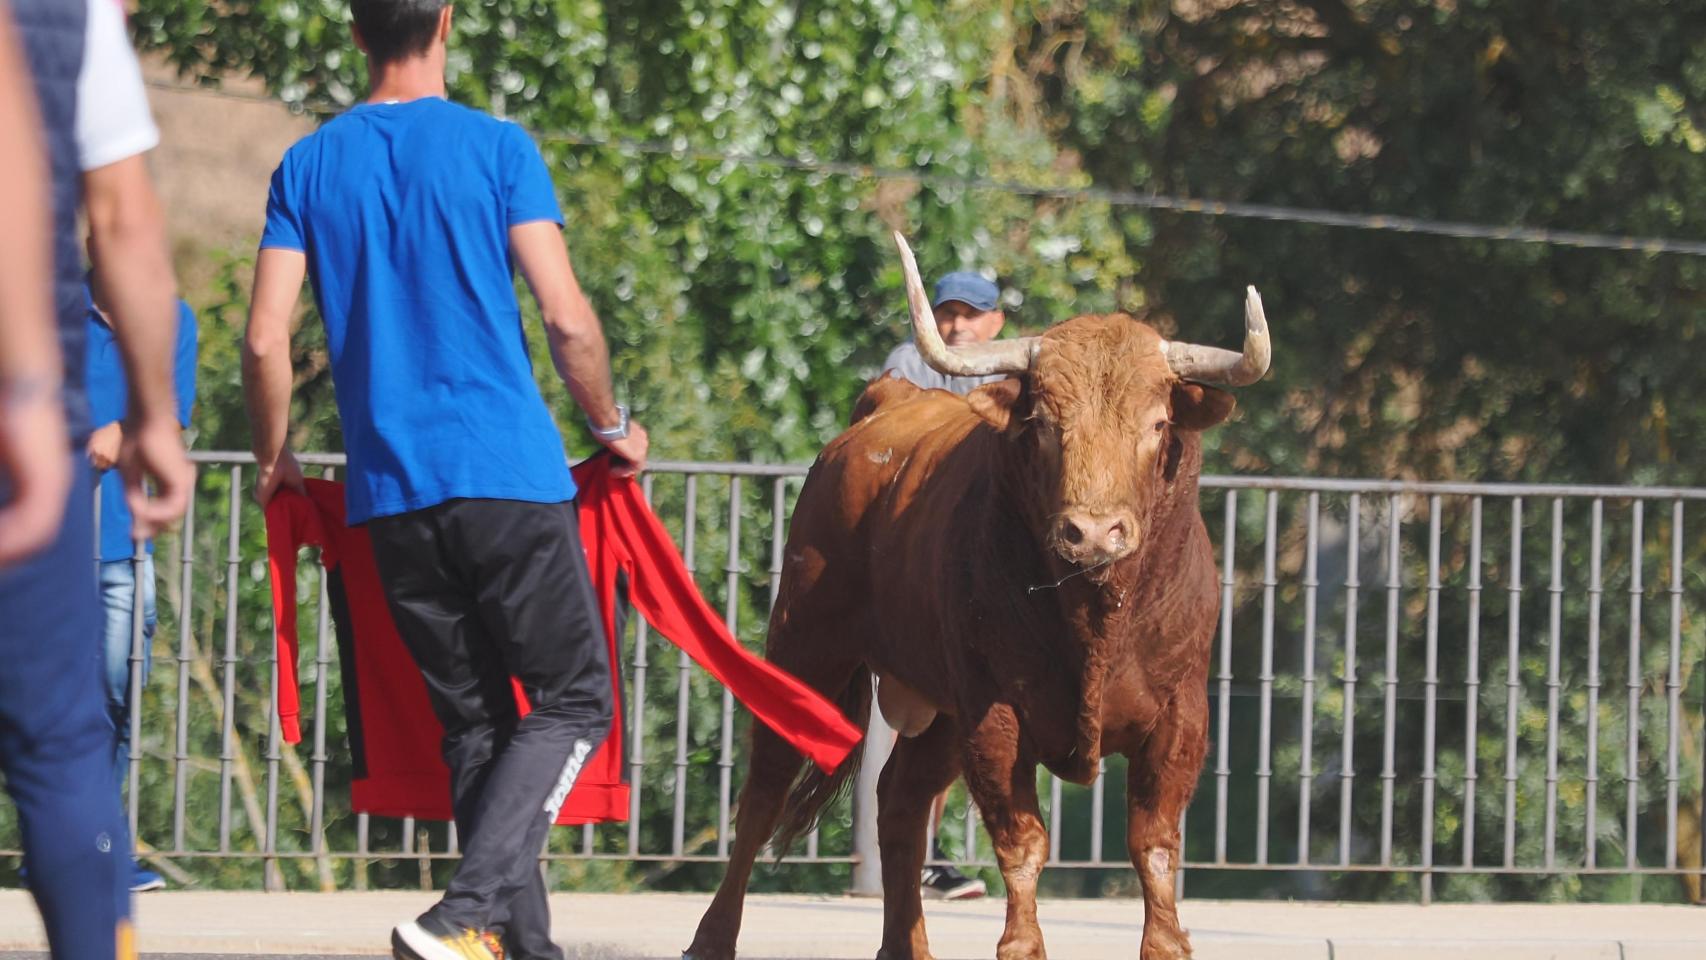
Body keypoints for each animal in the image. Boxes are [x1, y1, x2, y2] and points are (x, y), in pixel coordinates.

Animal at [685, 235, 1276, 960]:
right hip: (808, 647)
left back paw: (905, 946)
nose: (1093, 532)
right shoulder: (995, 715)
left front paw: (1165, 945)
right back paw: (712, 937)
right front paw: (1022, 945)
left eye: (1159, 423)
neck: (1094, 618)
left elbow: (1154, 846)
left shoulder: (1180, 715)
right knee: (764, 790)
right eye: (1044, 422)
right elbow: (1022, 842)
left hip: (939, 710)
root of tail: (887, 400)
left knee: (900, 801)